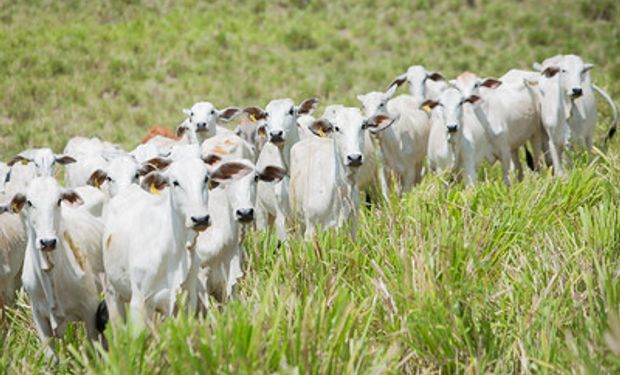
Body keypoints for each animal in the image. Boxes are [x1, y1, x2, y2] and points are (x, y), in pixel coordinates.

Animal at [101, 154, 249, 324]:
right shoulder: (139, 303)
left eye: (206, 178)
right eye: (175, 182)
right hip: (112, 294)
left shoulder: (187, 301)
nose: (200, 219)